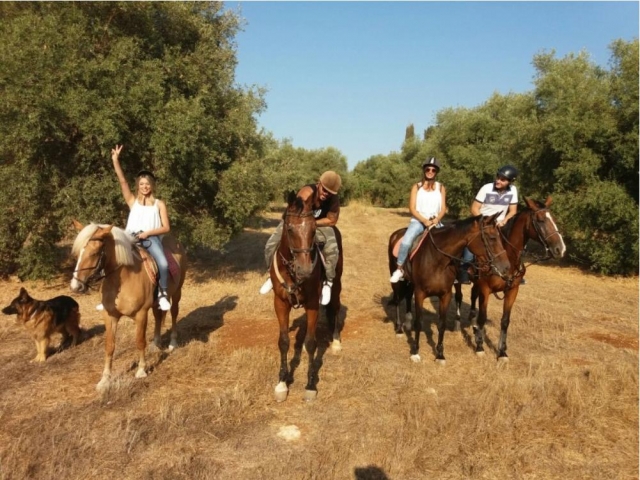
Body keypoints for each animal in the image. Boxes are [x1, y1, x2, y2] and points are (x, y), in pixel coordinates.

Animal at [70, 220, 187, 391]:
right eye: (78, 253)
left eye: (95, 252)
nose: (75, 286)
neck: (124, 278)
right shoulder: (110, 316)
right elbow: (109, 345)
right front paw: (105, 379)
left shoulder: (141, 314)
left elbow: (140, 341)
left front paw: (141, 370)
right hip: (155, 303)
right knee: (158, 317)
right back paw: (156, 344)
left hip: (177, 293)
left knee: (173, 313)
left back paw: (172, 343)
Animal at [271, 190, 343, 402]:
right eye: (290, 229)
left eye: (313, 230)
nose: (305, 270)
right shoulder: (280, 303)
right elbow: (283, 342)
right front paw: (282, 382)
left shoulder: (312, 304)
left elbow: (312, 343)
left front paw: (310, 384)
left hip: (337, 284)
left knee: (335, 307)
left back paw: (336, 340)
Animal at [388, 213, 511, 364]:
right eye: (492, 238)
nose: (506, 267)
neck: (438, 260)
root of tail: (396, 234)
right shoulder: (420, 293)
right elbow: (419, 322)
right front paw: (415, 352)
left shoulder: (445, 294)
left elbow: (442, 324)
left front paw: (440, 354)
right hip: (396, 278)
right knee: (397, 299)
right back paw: (399, 329)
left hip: (410, 282)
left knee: (406, 296)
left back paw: (407, 323)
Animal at [453, 196, 566, 361]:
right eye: (540, 220)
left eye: (554, 219)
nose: (560, 249)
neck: (507, 256)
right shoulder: (485, 289)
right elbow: (482, 317)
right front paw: (480, 346)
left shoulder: (512, 290)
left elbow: (505, 321)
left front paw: (502, 352)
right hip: (458, 280)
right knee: (459, 297)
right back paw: (457, 325)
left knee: (473, 299)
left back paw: (473, 326)